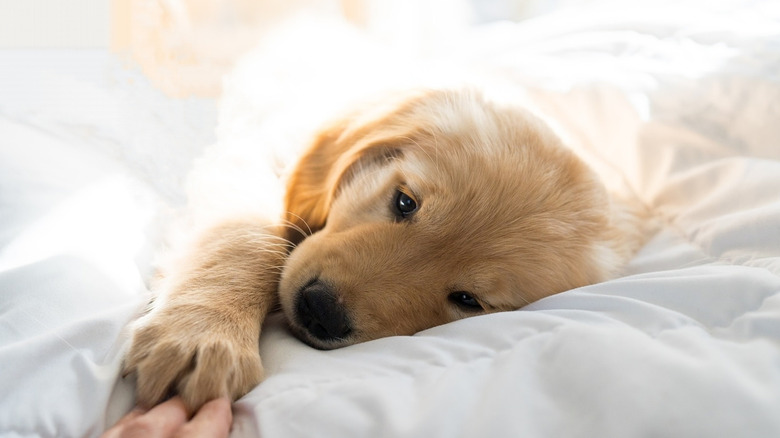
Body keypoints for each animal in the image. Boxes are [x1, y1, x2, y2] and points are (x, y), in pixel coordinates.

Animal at [123, 88, 644, 410]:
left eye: (468, 300)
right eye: (404, 201)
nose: (320, 311)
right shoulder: (260, 158)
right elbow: (244, 238)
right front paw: (204, 335)